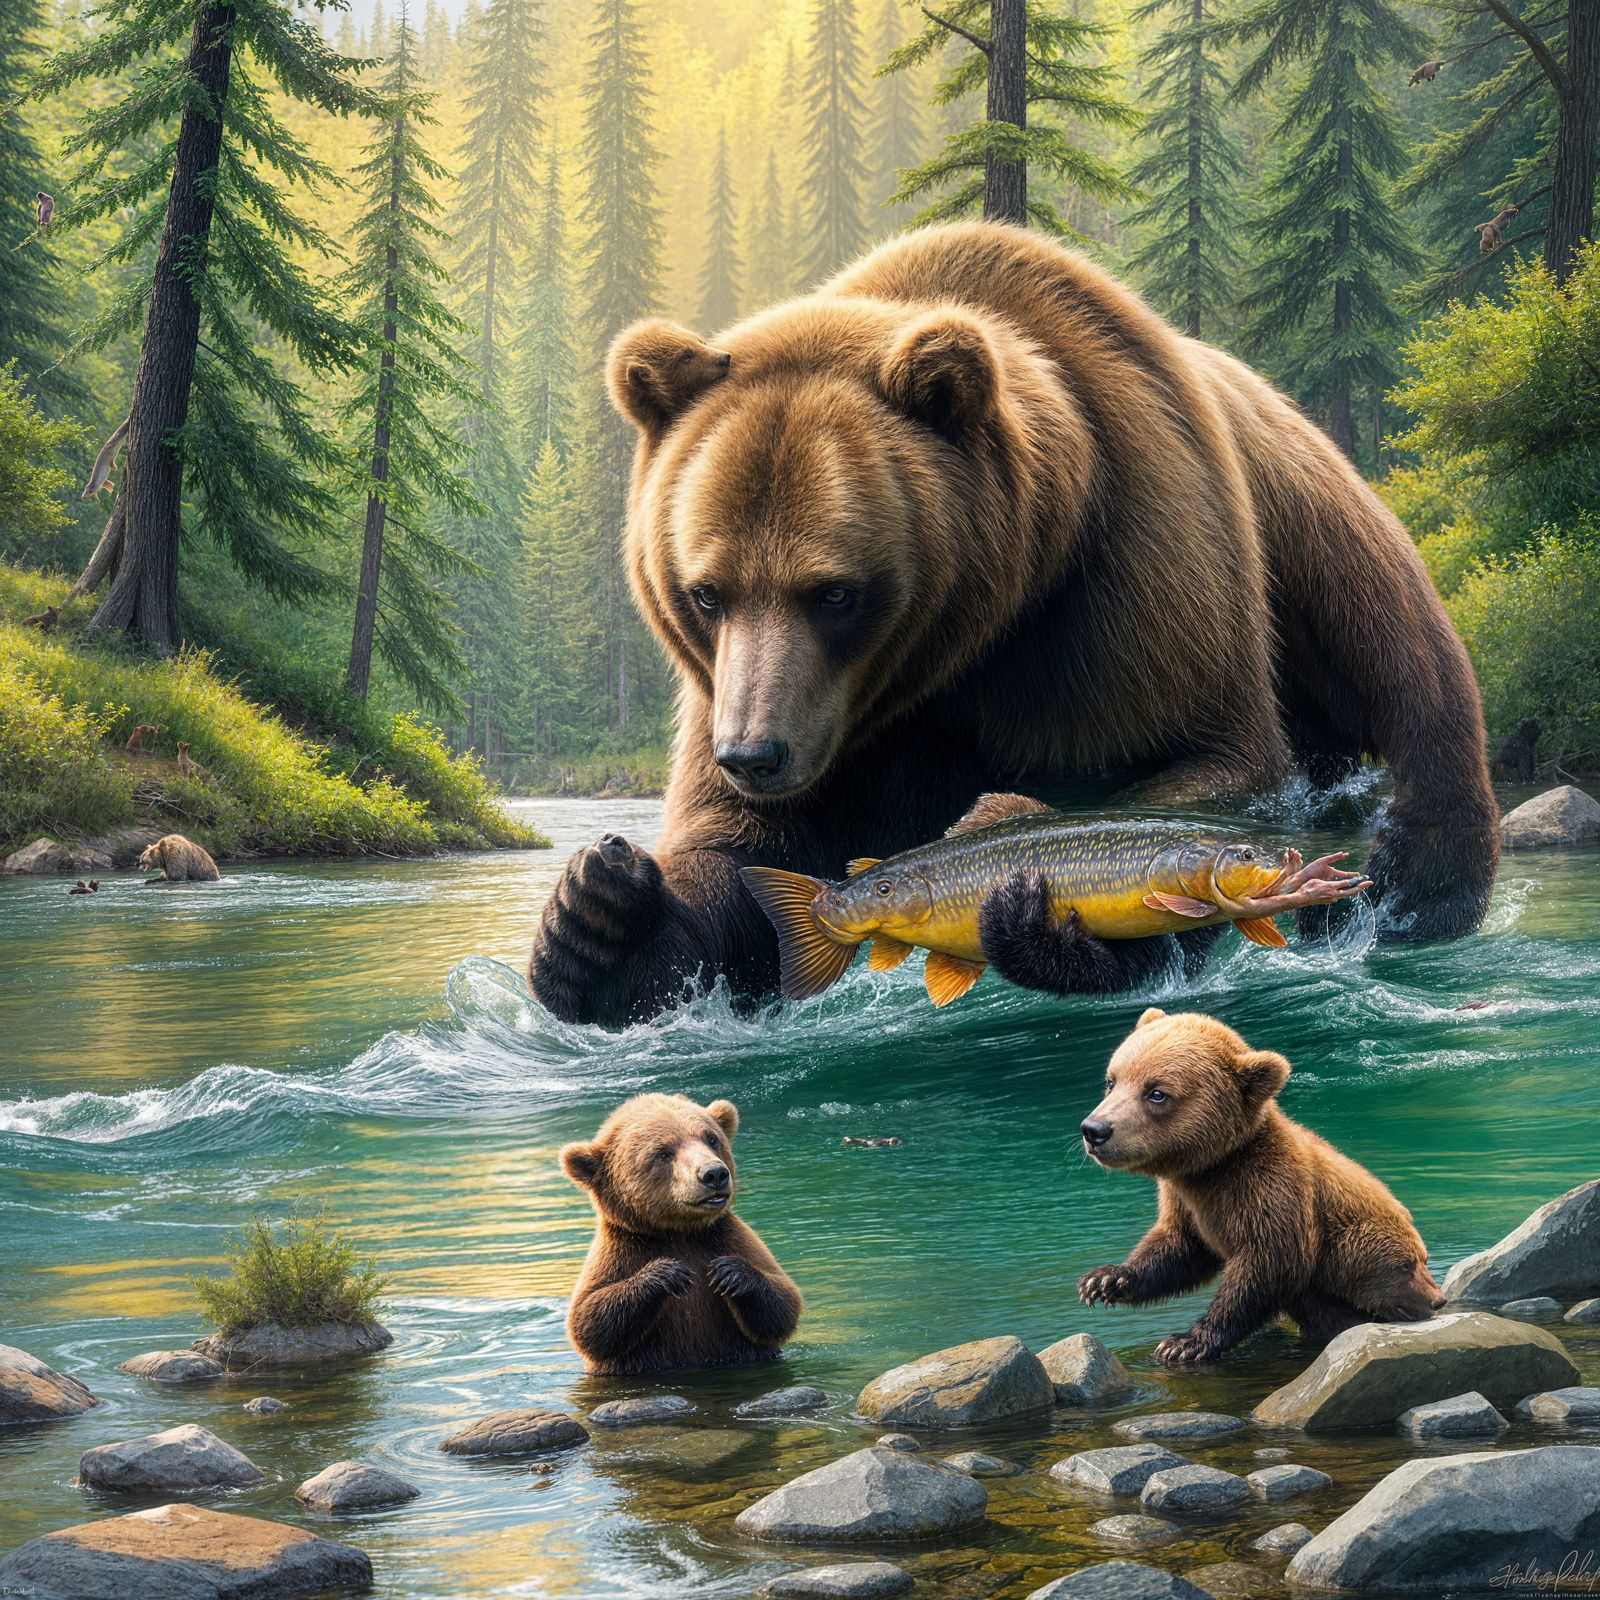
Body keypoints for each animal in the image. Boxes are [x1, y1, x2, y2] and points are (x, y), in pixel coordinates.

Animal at [528, 221, 1498, 1027]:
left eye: (834, 593)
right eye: (707, 592)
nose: (754, 755)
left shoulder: (1132, 593)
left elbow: (1208, 757)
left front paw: (1079, 938)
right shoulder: (765, 698)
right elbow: (738, 861)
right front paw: (596, 918)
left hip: (1323, 553)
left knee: (1411, 689)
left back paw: (1411, 891)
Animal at [559, 1093, 803, 1374]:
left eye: (711, 1139)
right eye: (663, 1152)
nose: (714, 1173)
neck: (679, 1232)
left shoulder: (730, 1237)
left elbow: (784, 1301)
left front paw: (728, 1271)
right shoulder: (621, 1249)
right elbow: (588, 1320)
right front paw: (669, 1273)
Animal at [1076, 1007, 1445, 1363]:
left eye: (1156, 1092)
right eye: (1111, 1081)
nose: (1095, 1129)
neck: (1212, 1168)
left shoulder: (1272, 1191)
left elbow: (1266, 1267)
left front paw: (1185, 1343)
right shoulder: (1184, 1201)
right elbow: (1180, 1249)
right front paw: (1104, 1279)